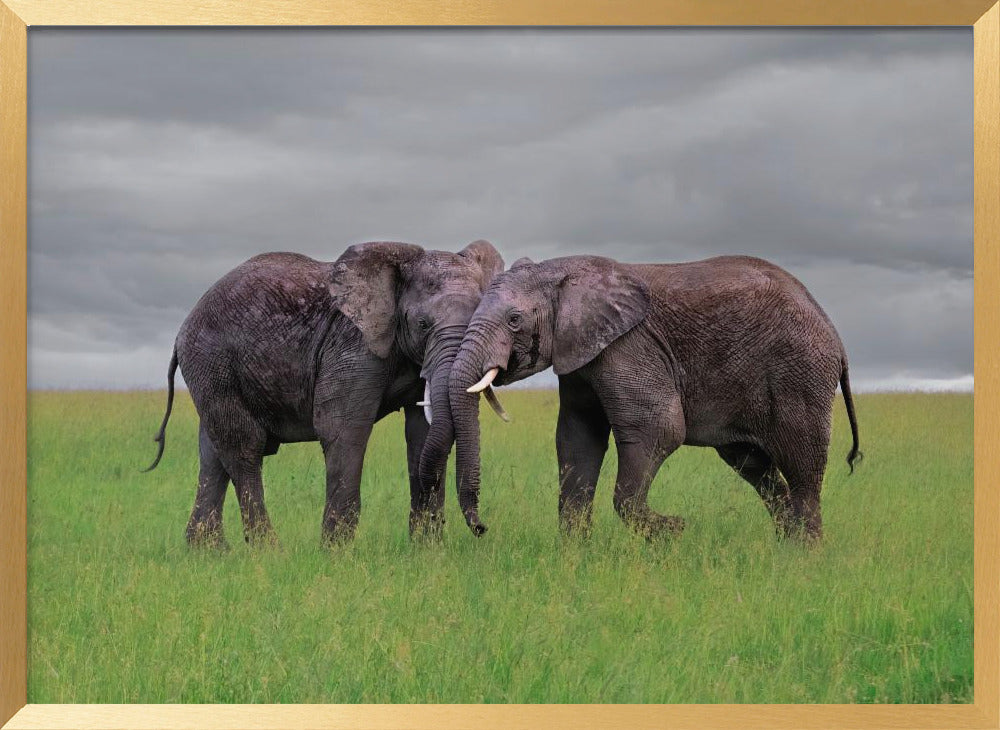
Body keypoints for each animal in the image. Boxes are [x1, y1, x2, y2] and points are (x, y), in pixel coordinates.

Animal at [144, 240, 506, 547]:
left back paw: (209, 553)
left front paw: (426, 551)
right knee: (243, 447)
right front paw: (336, 552)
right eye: (423, 325)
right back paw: (268, 552)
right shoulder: (352, 346)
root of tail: (183, 329)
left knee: (212, 453)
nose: (481, 528)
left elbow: (422, 434)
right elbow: (343, 429)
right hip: (212, 362)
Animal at [446, 254, 861, 541]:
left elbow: (657, 429)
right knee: (756, 469)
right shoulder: (581, 355)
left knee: (802, 468)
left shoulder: (629, 346)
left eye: (515, 320)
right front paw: (575, 556)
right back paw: (785, 548)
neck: (567, 270)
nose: (482, 528)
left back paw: (804, 557)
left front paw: (674, 530)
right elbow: (577, 439)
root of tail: (834, 332)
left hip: (799, 374)